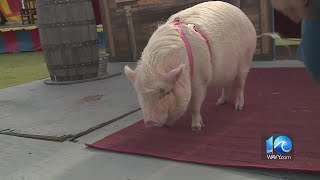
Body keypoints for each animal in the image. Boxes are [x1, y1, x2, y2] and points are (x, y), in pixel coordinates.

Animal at [124, 1, 262, 131]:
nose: (150, 122)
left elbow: (195, 105)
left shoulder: (199, 80)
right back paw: (219, 102)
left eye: (166, 92)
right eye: (142, 94)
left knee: (240, 85)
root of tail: (242, 14)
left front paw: (197, 128)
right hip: (226, 70)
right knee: (226, 85)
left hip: (246, 60)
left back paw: (238, 107)